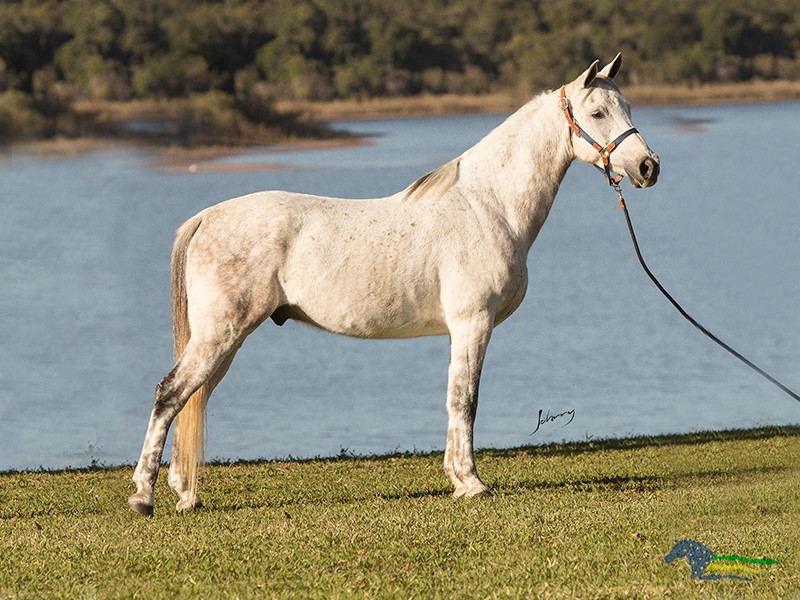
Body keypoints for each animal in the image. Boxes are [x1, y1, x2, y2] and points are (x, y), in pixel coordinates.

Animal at [130, 55, 656, 516]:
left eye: (628, 106)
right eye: (597, 112)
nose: (648, 167)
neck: (488, 205)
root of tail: (206, 217)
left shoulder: (463, 329)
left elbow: (455, 399)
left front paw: (457, 480)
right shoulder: (473, 323)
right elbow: (465, 400)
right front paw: (472, 482)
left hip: (225, 339)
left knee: (193, 399)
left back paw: (185, 493)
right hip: (221, 334)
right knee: (170, 394)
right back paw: (143, 496)